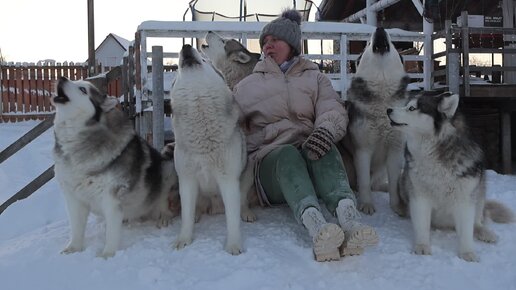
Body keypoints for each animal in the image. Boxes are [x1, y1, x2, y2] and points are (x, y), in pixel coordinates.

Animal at [52, 77, 177, 258]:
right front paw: (74, 248)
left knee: (165, 205)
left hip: (167, 169)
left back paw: (164, 217)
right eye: (74, 81)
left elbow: (111, 233)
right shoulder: (73, 197)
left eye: (83, 90)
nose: (61, 78)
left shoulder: (111, 198)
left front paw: (107, 254)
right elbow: (76, 228)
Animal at [171, 43, 250, 254]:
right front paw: (184, 239)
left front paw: (233, 245)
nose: (186, 46)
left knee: (244, 201)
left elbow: (232, 219)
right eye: (179, 65)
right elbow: (186, 216)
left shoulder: (228, 180)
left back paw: (247, 213)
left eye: (206, 60)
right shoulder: (187, 180)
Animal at [344, 26, 410, 215]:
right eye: (367, 43)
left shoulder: (395, 150)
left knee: (377, 183)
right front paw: (366, 204)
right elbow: (364, 181)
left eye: (393, 41)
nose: (380, 29)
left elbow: (394, 182)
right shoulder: (362, 150)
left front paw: (397, 206)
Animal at [390, 92, 512, 262]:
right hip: (404, 181)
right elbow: (421, 224)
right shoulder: (419, 196)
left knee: (477, 221)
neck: (435, 153)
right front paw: (422, 246)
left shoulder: (465, 199)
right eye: (407, 105)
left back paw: (484, 232)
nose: (388, 110)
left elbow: (466, 231)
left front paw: (467, 253)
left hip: (480, 188)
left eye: (412, 108)